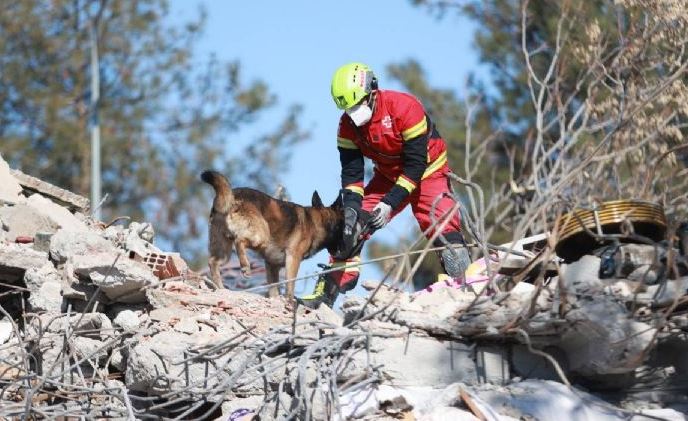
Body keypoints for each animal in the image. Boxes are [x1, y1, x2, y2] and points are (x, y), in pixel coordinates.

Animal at [202, 170, 346, 298]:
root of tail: (232, 195)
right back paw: (245, 267)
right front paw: (289, 302)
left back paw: (221, 288)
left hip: (224, 251)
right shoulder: (293, 258)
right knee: (239, 241)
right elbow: (290, 285)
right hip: (261, 236)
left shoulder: (272, 265)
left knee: (213, 262)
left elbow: (273, 289)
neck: (318, 221)